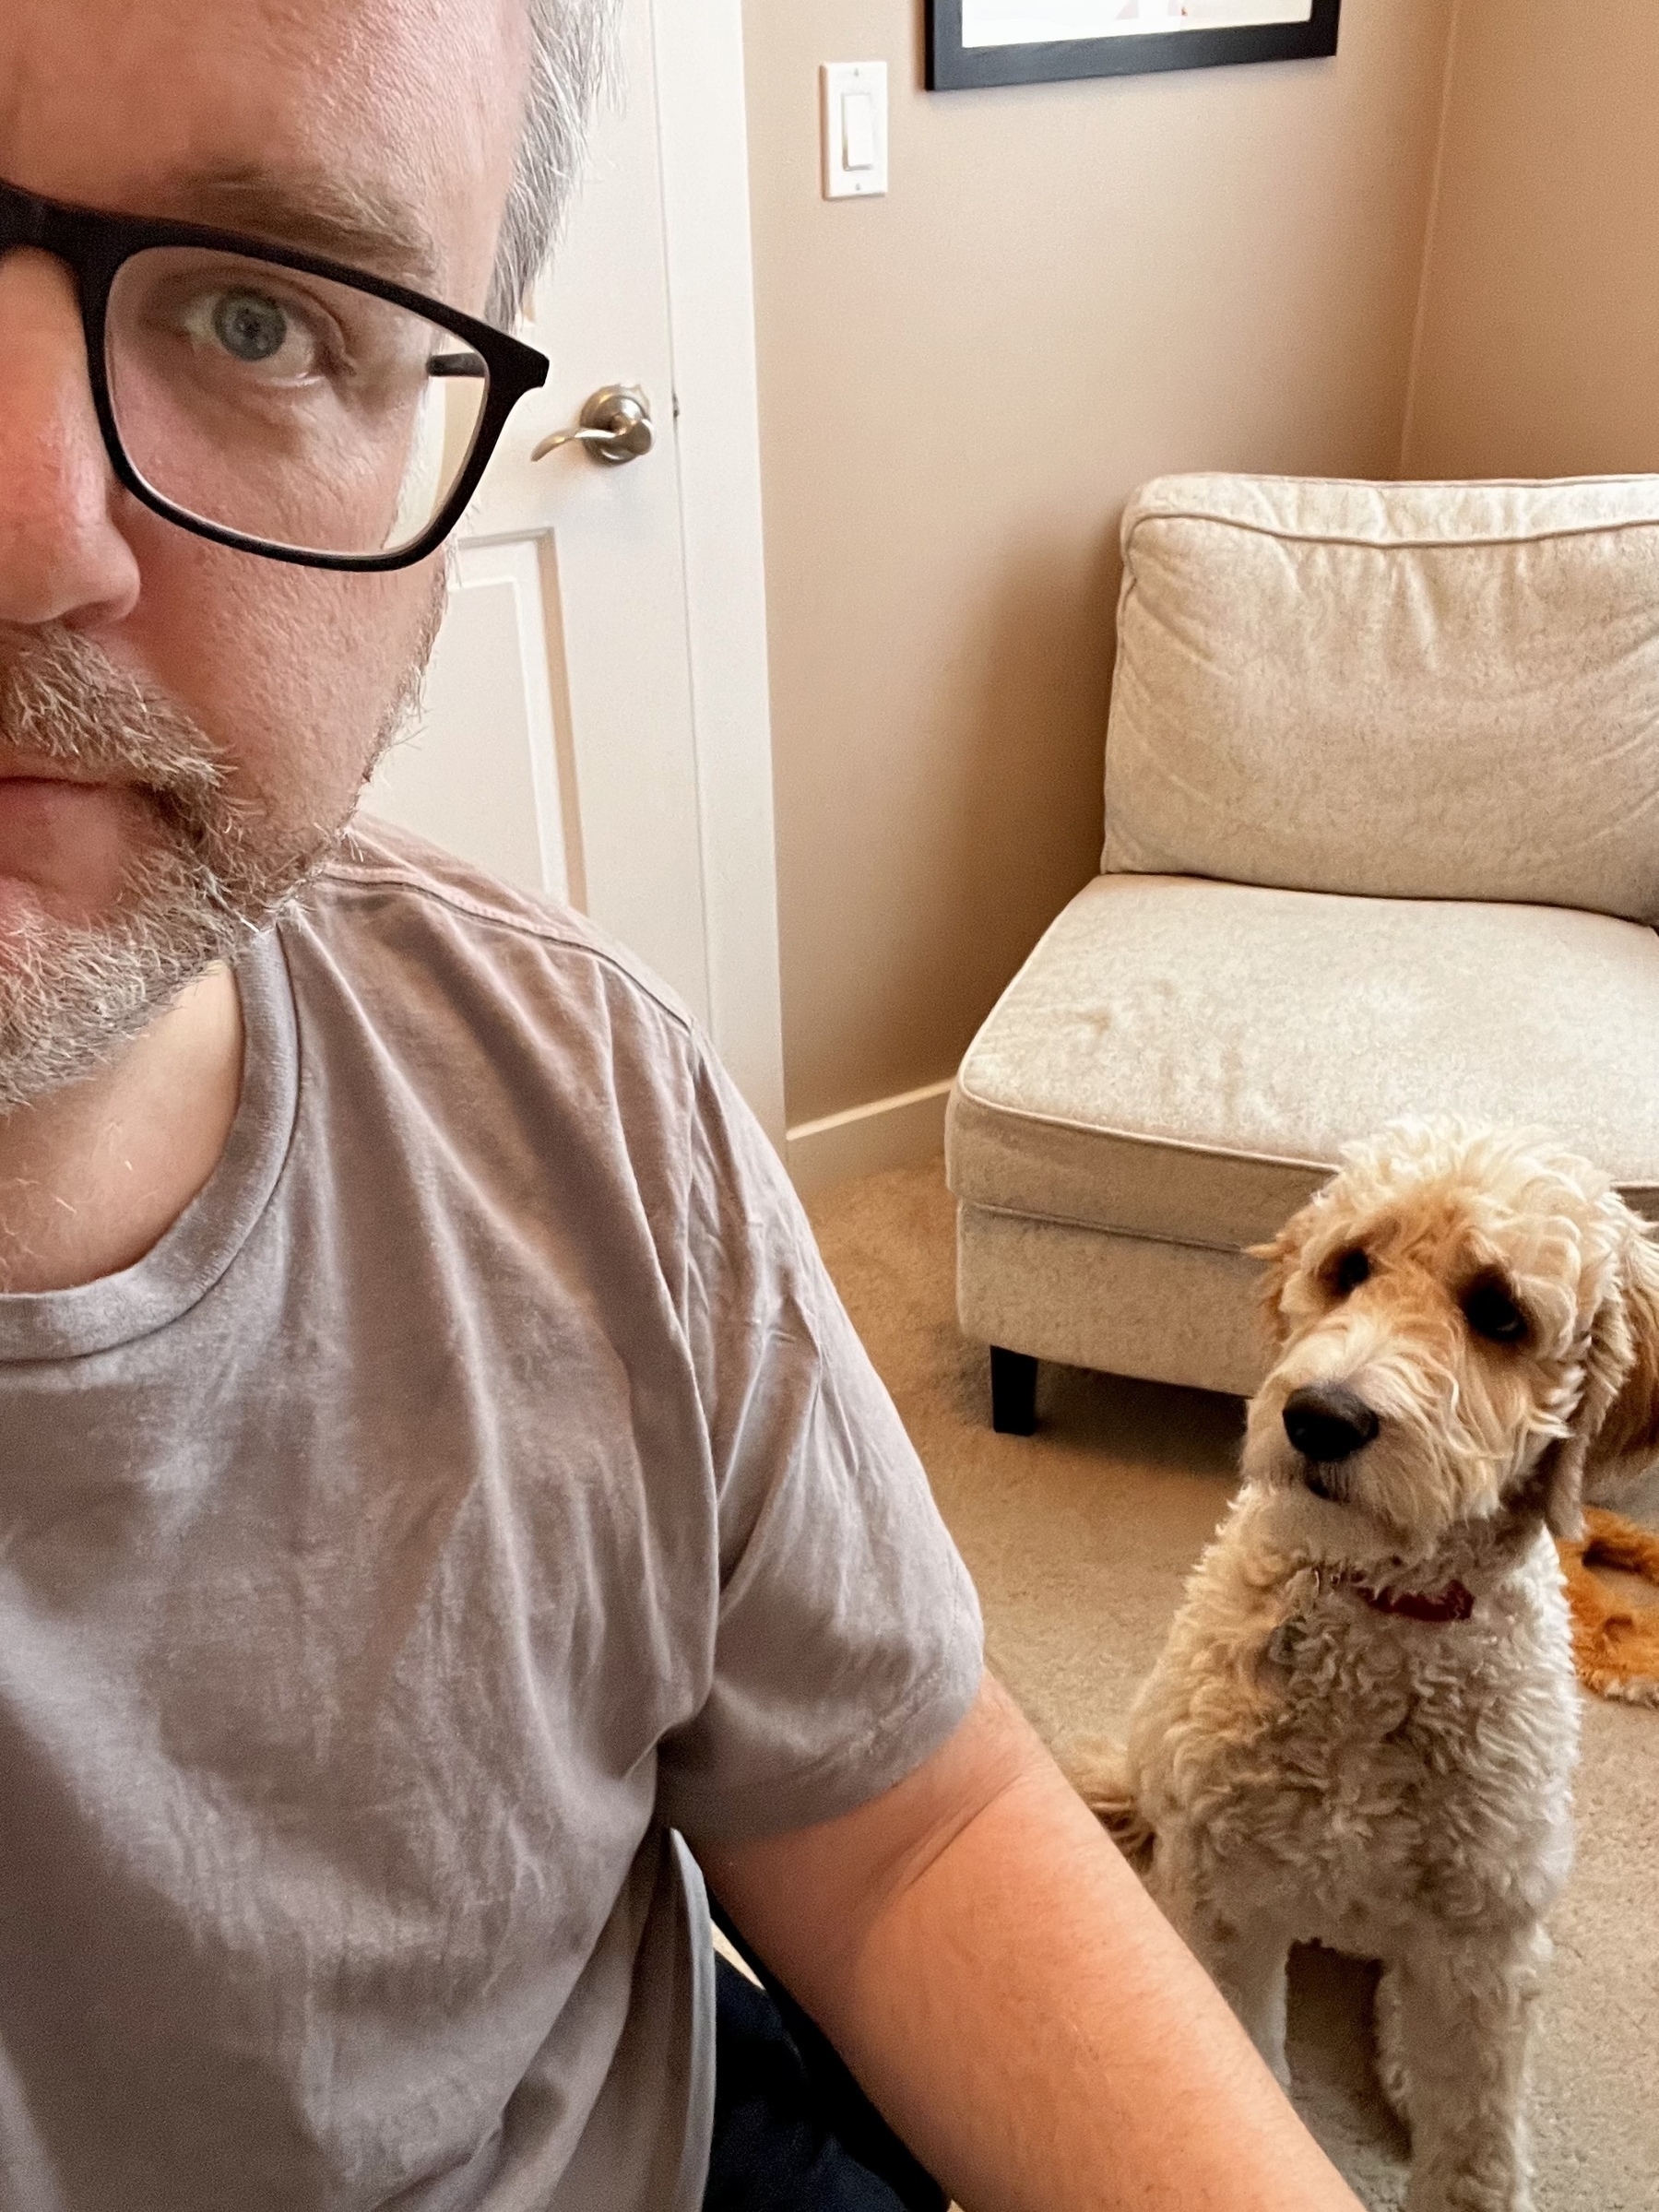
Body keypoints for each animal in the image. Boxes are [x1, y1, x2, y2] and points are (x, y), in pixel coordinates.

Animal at [1092, 1123, 1659, 2212]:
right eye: (1348, 1266)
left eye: (1498, 1311)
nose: (1318, 1415)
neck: (1380, 1612)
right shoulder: (1223, 1889)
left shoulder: (1484, 1934)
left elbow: (1474, 2138)